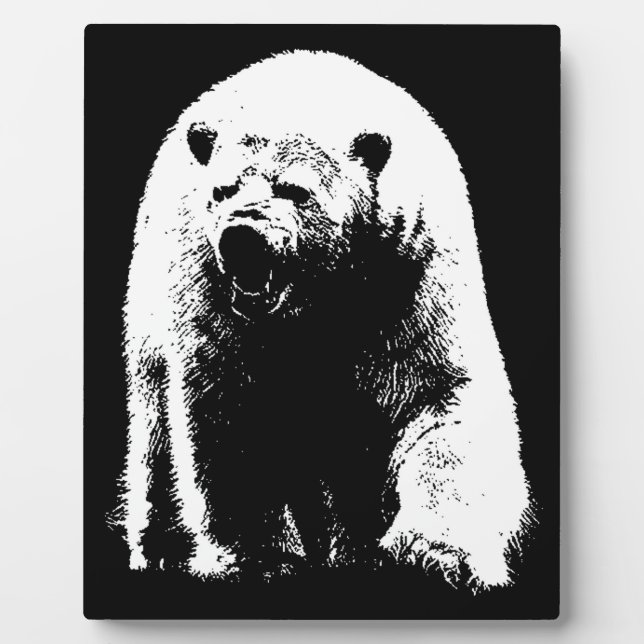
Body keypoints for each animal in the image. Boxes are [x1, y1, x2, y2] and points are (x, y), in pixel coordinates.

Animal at [120, 50, 532, 590]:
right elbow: (228, 413)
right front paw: (260, 560)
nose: (242, 235)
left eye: (294, 189)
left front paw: (433, 556)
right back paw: (161, 549)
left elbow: (440, 399)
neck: (316, 303)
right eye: (223, 190)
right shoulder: (212, 296)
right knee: (154, 429)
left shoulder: (407, 275)